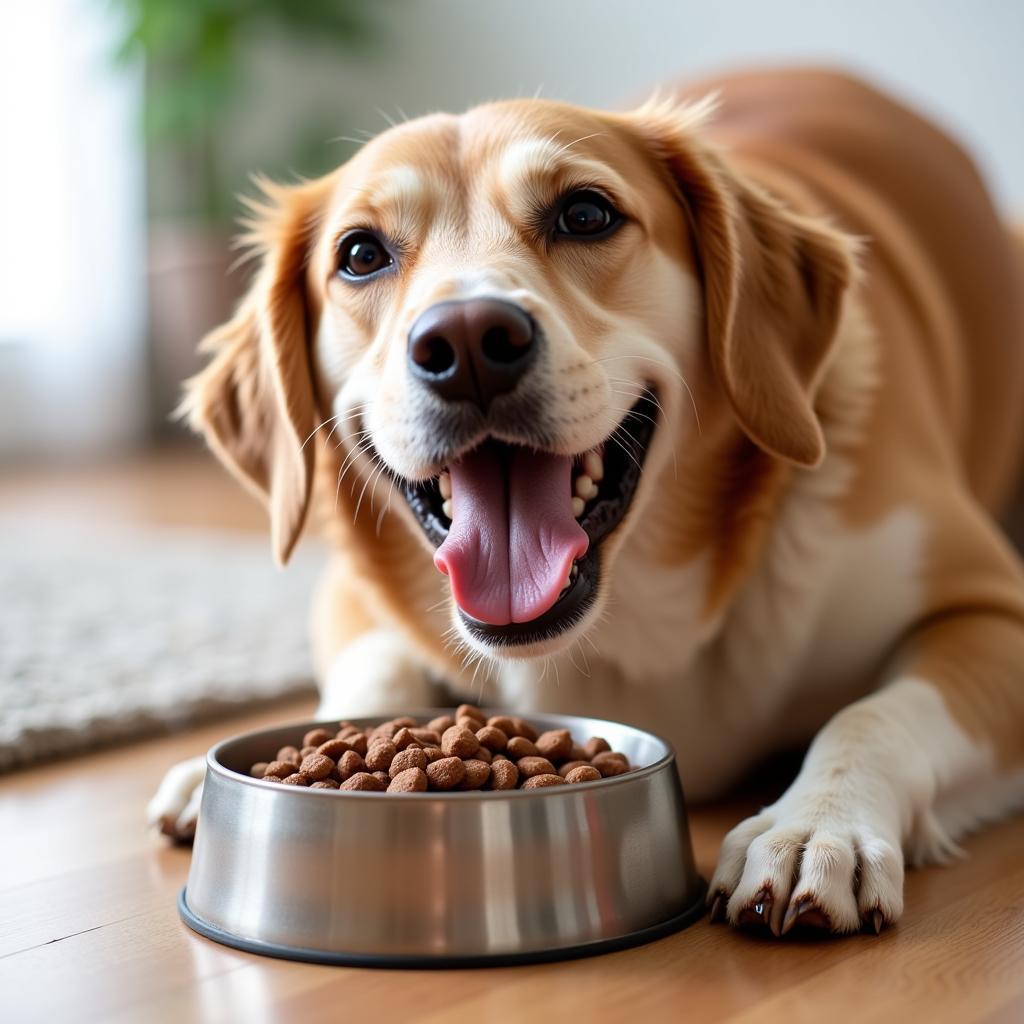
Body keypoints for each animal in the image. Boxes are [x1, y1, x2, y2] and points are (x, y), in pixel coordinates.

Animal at [146, 66, 1024, 937]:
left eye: (586, 213)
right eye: (360, 254)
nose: (467, 342)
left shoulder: (994, 610)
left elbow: (873, 716)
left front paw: (816, 824)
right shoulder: (350, 596)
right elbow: (375, 673)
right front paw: (217, 768)